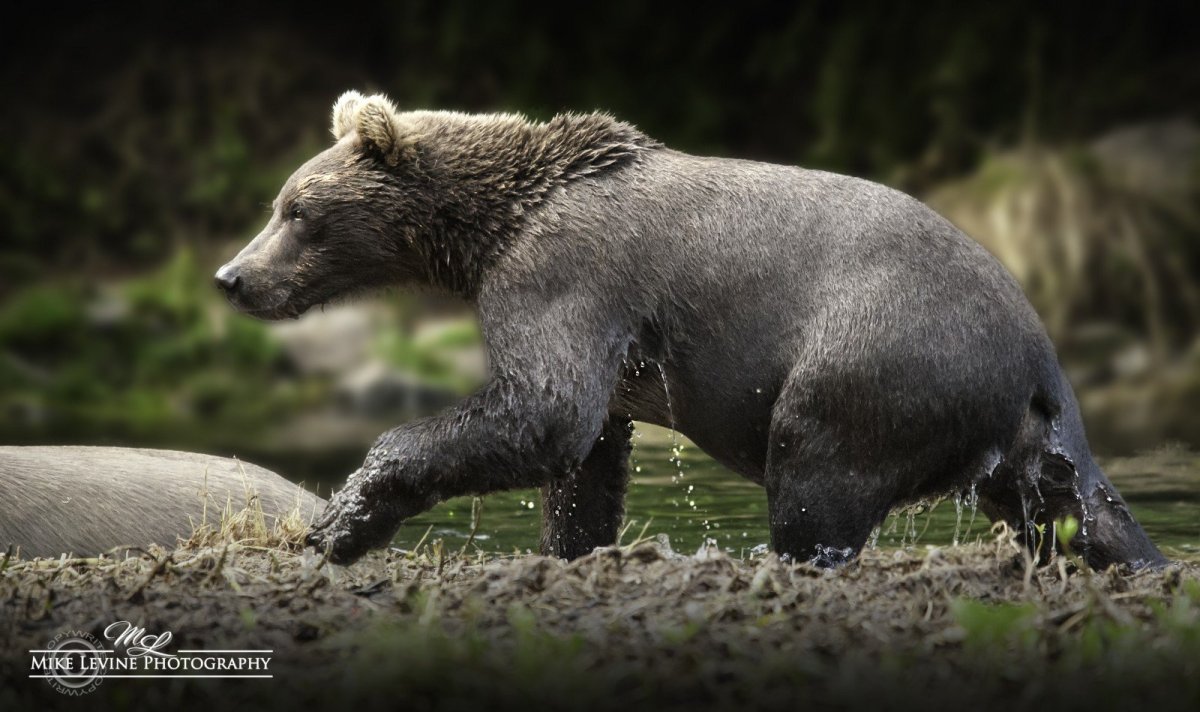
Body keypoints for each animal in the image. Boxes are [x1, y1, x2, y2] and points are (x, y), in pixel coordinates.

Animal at [215, 90, 1166, 570]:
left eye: (298, 212)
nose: (234, 277)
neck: (491, 227)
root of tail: (1035, 353)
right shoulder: (608, 346)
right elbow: (585, 457)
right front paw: (572, 544)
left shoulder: (566, 274)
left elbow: (543, 409)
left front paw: (342, 521)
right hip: (1020, 439)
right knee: (1076, 506)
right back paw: (1135, 558)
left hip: (877, 359)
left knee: (815, 474)